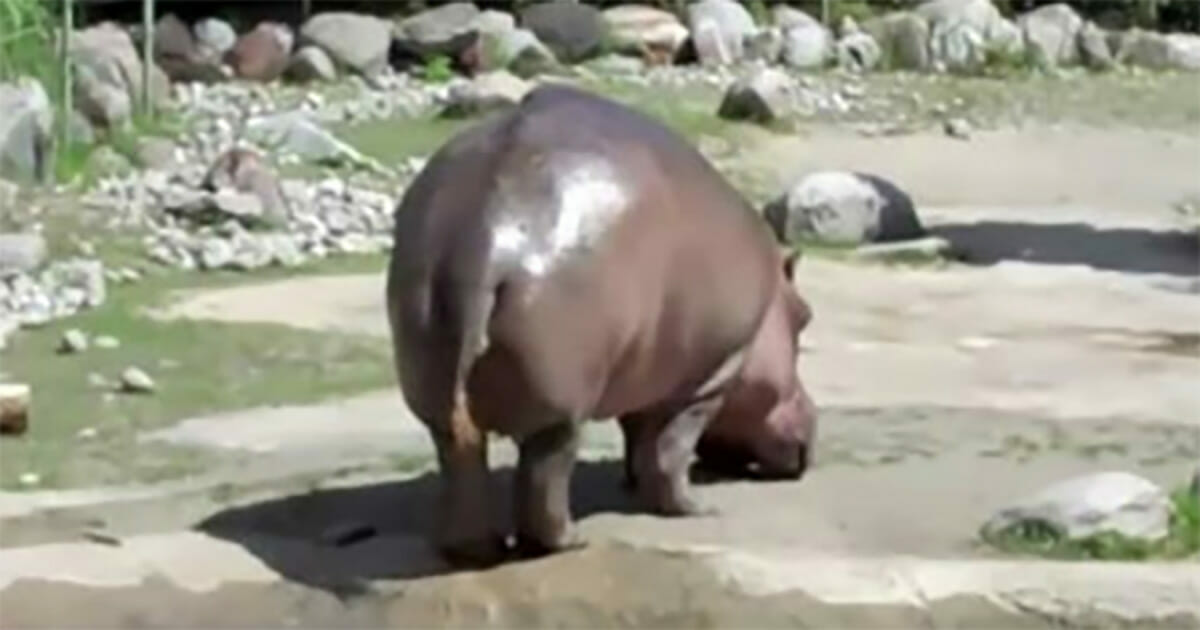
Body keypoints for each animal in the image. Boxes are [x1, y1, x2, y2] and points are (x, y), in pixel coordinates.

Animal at [385, 83, 816, 567]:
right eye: (805, 317)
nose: (812, 421)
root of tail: (483, 238)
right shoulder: (709, 378)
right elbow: (670, 448)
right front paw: (695, 508)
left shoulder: (643, 368)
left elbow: (639, 438)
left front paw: (631, 483)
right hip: (562, 404)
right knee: (545, 475)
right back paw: (572, 540)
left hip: (436, 376)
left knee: (460, 457)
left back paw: (475, 550)